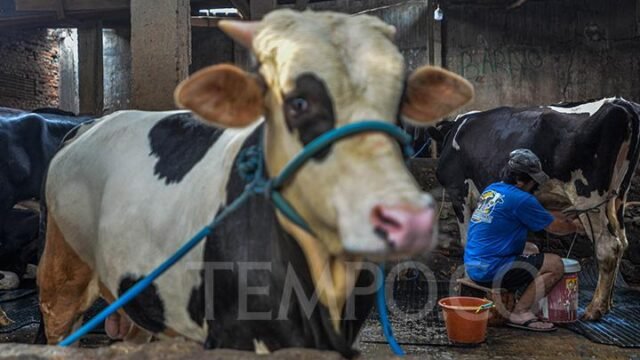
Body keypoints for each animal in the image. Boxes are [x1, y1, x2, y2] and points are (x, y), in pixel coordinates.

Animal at [438, 97, 640, 320]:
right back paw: (607, 304)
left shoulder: (458, 190)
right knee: (622, 241)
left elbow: (466, 241)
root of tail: (620, 103)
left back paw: (594, 309)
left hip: (591, 198)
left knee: (608, 246)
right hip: (618, 196)